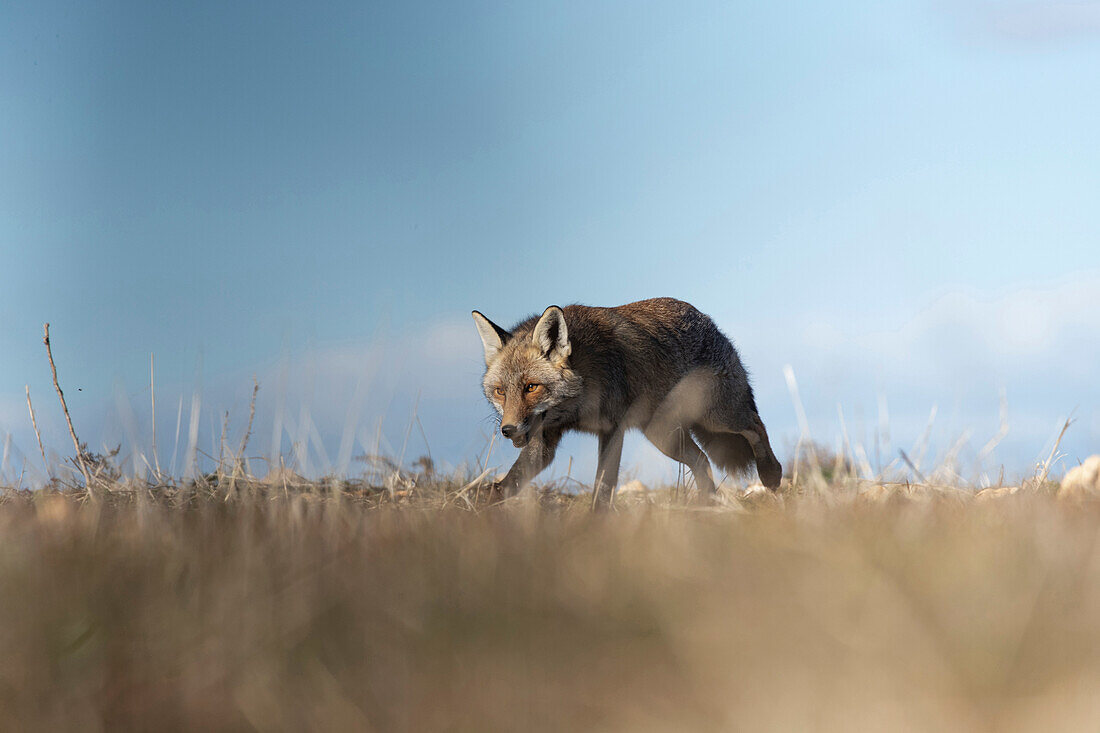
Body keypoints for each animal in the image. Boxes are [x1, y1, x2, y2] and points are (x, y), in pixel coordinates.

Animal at [473, 297, 783, 501]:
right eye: (500, 391)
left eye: (531, 387)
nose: (508, 429)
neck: (575, 407)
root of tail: (708, 321)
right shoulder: (544, 440)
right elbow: (509, 484)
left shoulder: (612, 429)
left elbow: (603, 489)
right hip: (663, 435)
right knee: (703, 461)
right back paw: (706, 506)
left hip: (716, 418)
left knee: (755, 426)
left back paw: (771, 474)